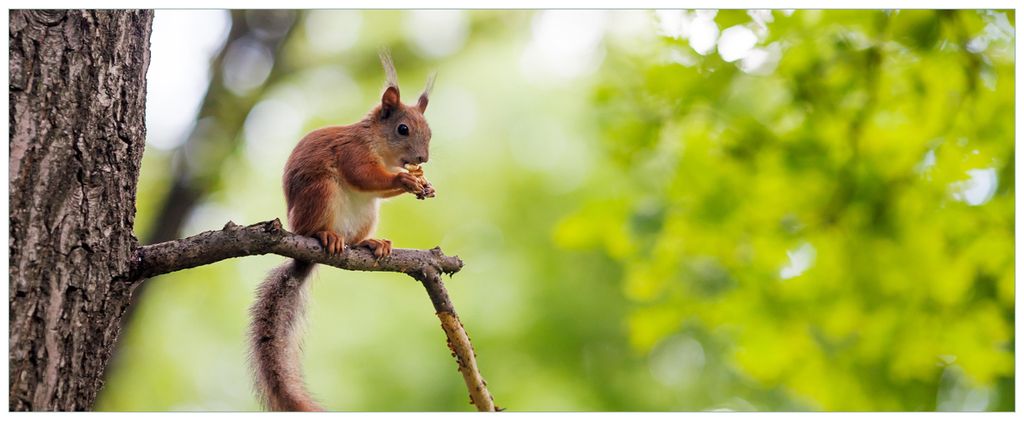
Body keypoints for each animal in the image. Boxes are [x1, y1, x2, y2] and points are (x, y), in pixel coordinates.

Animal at [248, 51, 436, 411]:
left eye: (430, 132)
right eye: (403, 129)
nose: (422, 159)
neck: (379, 146)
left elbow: (378, 187)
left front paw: (422, 184)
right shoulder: (353, 152)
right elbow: (363, 174)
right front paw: (404, 180)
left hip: (367, 213)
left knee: (356, 238)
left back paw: (372, 243)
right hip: (320, 193)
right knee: (314, 227)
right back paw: (325, 236)